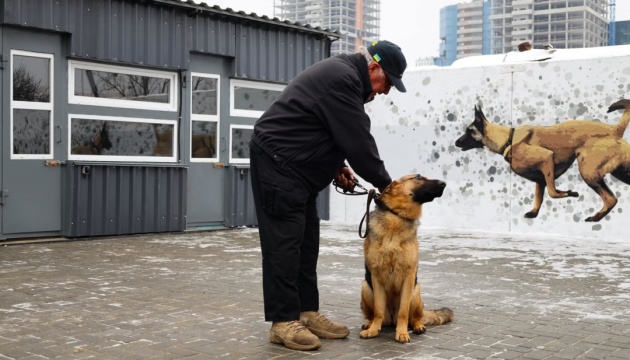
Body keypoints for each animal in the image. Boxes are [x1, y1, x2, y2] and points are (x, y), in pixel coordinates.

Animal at [360, 174, 454, 344]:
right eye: (418, 177)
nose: (443, 183)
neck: (396, 215)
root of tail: (391, 320)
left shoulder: (408, 277)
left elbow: (403, 312)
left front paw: (402, 333)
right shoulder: (376, 277)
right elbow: (378, 310)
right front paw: (373, 330)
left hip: (416, 292)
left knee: (415, 317)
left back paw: (417, 326)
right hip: (366, 287)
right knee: (376, 315)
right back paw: (370, 324)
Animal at [460, 99, 630, 222]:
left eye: (469, 131)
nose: (456, 142)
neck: (508, 139)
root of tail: (614, 129)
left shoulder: (546, 159)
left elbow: (552, 192)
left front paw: (568, 193)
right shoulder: (540, 179)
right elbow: (539, 197)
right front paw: (535, 212)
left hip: (588, 171)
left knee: (611, 199)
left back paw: (595, 217)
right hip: (620, 171)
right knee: (612, 198)